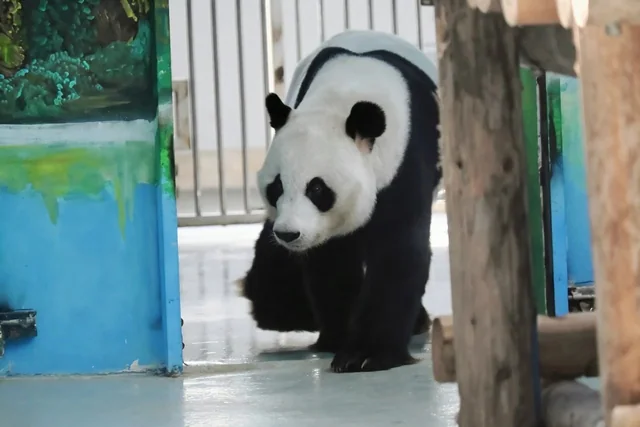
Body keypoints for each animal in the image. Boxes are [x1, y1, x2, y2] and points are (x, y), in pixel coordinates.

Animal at [237, 30, 441, 373]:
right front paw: (340, 337)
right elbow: (330, 260)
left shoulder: (406, 160)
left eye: (318, 189)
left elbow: (398, 250)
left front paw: (366, 355)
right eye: (276, 187)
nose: (289, 234)